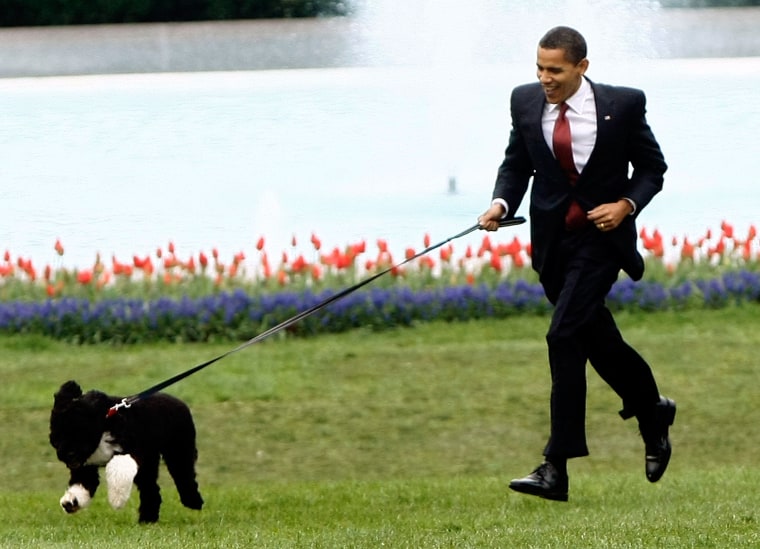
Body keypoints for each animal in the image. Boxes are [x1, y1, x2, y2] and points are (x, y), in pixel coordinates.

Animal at [50, 378, 205, 520]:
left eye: (78, 433)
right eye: (57, 437)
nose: (66, 454)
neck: (104, 424)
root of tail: (180, 403)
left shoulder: (130, 452)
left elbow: (118, 471)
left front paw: (116, 500)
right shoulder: (86, 466)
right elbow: (82, 483)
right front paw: (71, 502)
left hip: (178, 450)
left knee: (184, 476)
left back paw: (193, 502)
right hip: (151, 459)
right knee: (151, 488)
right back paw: (147, 518)